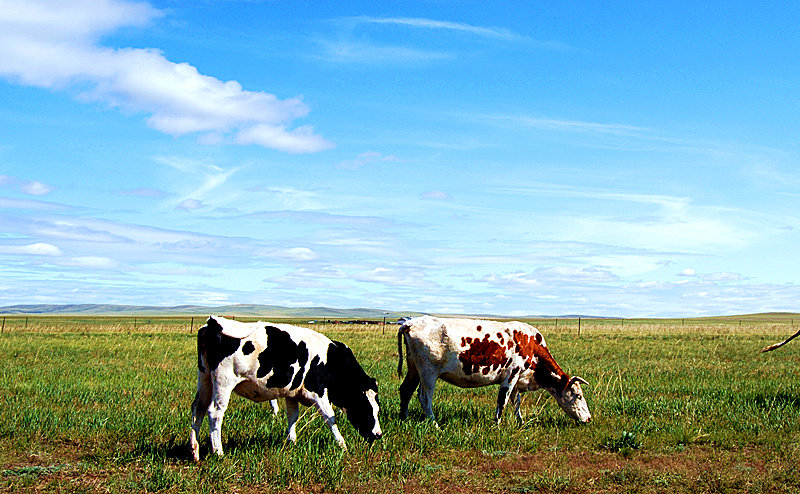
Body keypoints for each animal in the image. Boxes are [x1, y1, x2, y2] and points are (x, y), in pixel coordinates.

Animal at [192, 316, 382, 460]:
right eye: (365, 408)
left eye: (378, 409)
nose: (378, 434)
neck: (331, 360)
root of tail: (212, 324)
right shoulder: (318, 391)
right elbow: (330, 418)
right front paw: (342, 445)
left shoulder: (292, 393)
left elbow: (292, 416)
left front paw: (292, 442)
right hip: (223, 383)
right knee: (215, 413)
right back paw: (218, 452)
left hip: (205, 379)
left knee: (198, 409)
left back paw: (194, 450)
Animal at [398, 316, 592, 424]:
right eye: (578, 396)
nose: (589, 418)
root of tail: (412, 322)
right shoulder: (511, 375)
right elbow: (503, 401)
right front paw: (497, 424)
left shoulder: (517, 379)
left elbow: (516, 401)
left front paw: (520, 422)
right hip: (428, 371)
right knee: (424, 397)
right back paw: (434, 424)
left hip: (414, 369)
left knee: (405, 390)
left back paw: (403, 418)